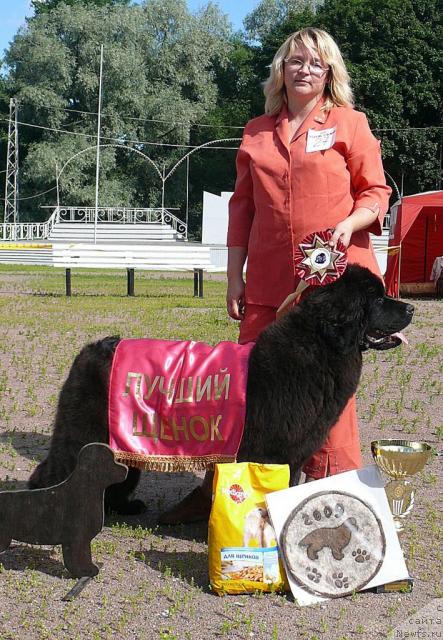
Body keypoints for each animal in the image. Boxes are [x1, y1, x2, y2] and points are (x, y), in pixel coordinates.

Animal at [29, 264, 414, 516]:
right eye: (376, 299)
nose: (411, 307)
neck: (319, 345)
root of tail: (90, 349)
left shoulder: (295, 453)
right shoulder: (274, 452)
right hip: (85, 433)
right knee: (55, 472)